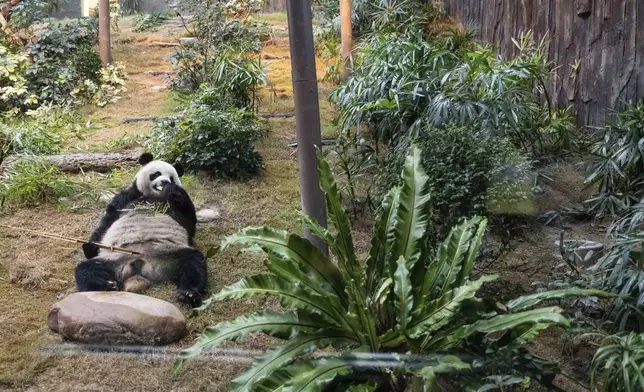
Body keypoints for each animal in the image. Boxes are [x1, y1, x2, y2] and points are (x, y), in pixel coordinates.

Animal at [74, 152, 208, 308]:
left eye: (171, 178)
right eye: (157, 173)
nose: (164, 182)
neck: (153, 197)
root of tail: (141, 265)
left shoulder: (174, 207)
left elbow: (189, 224)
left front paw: (175, 192)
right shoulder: (128, 197)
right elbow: (107, 221)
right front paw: (90, 247)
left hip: (170, 253)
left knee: (193, 263)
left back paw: (188, 293)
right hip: (113, 258)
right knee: (88, 270)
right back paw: (106, 286)